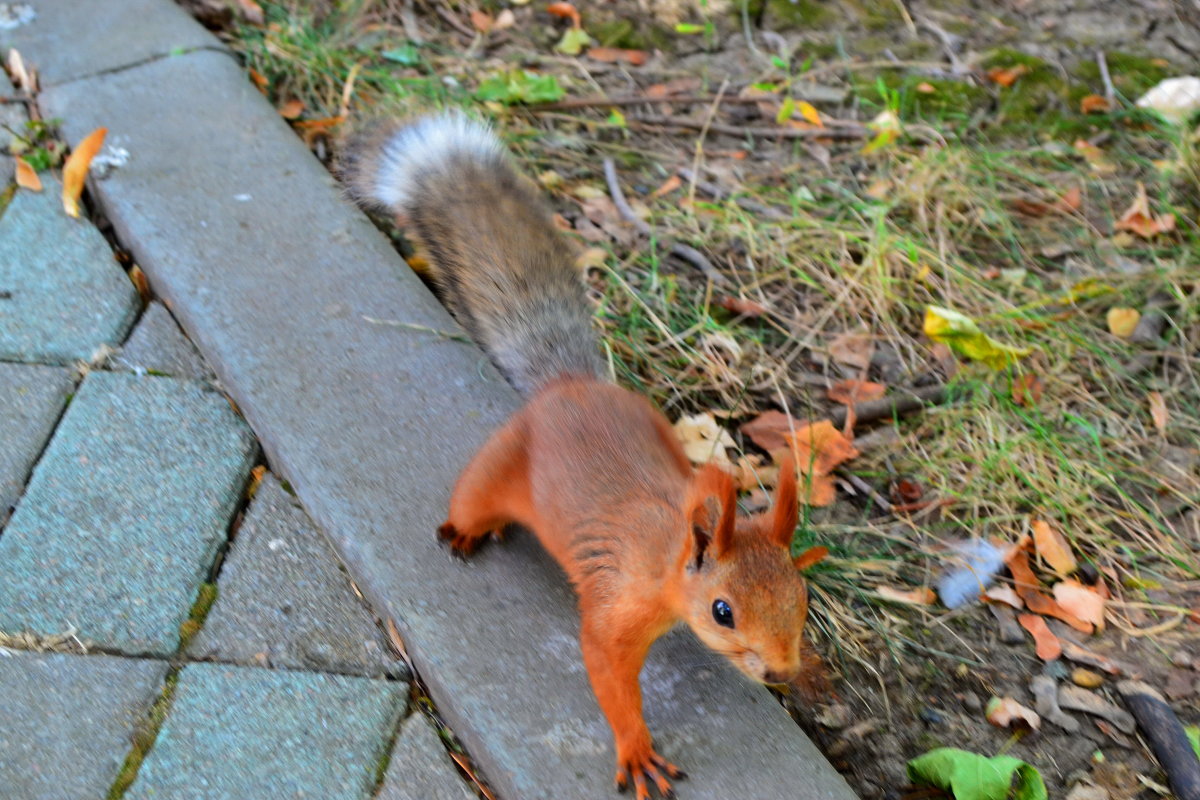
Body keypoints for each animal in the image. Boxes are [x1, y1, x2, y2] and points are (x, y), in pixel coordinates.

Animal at [343, 113, 820, 800]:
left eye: (802, 599)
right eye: (723, 612)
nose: (782, 673)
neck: (667, 557)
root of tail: (568, 386)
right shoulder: (615, 608)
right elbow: (606, 672)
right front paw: (638, 752)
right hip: (500, 462)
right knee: (474, 494)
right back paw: (465, 530)